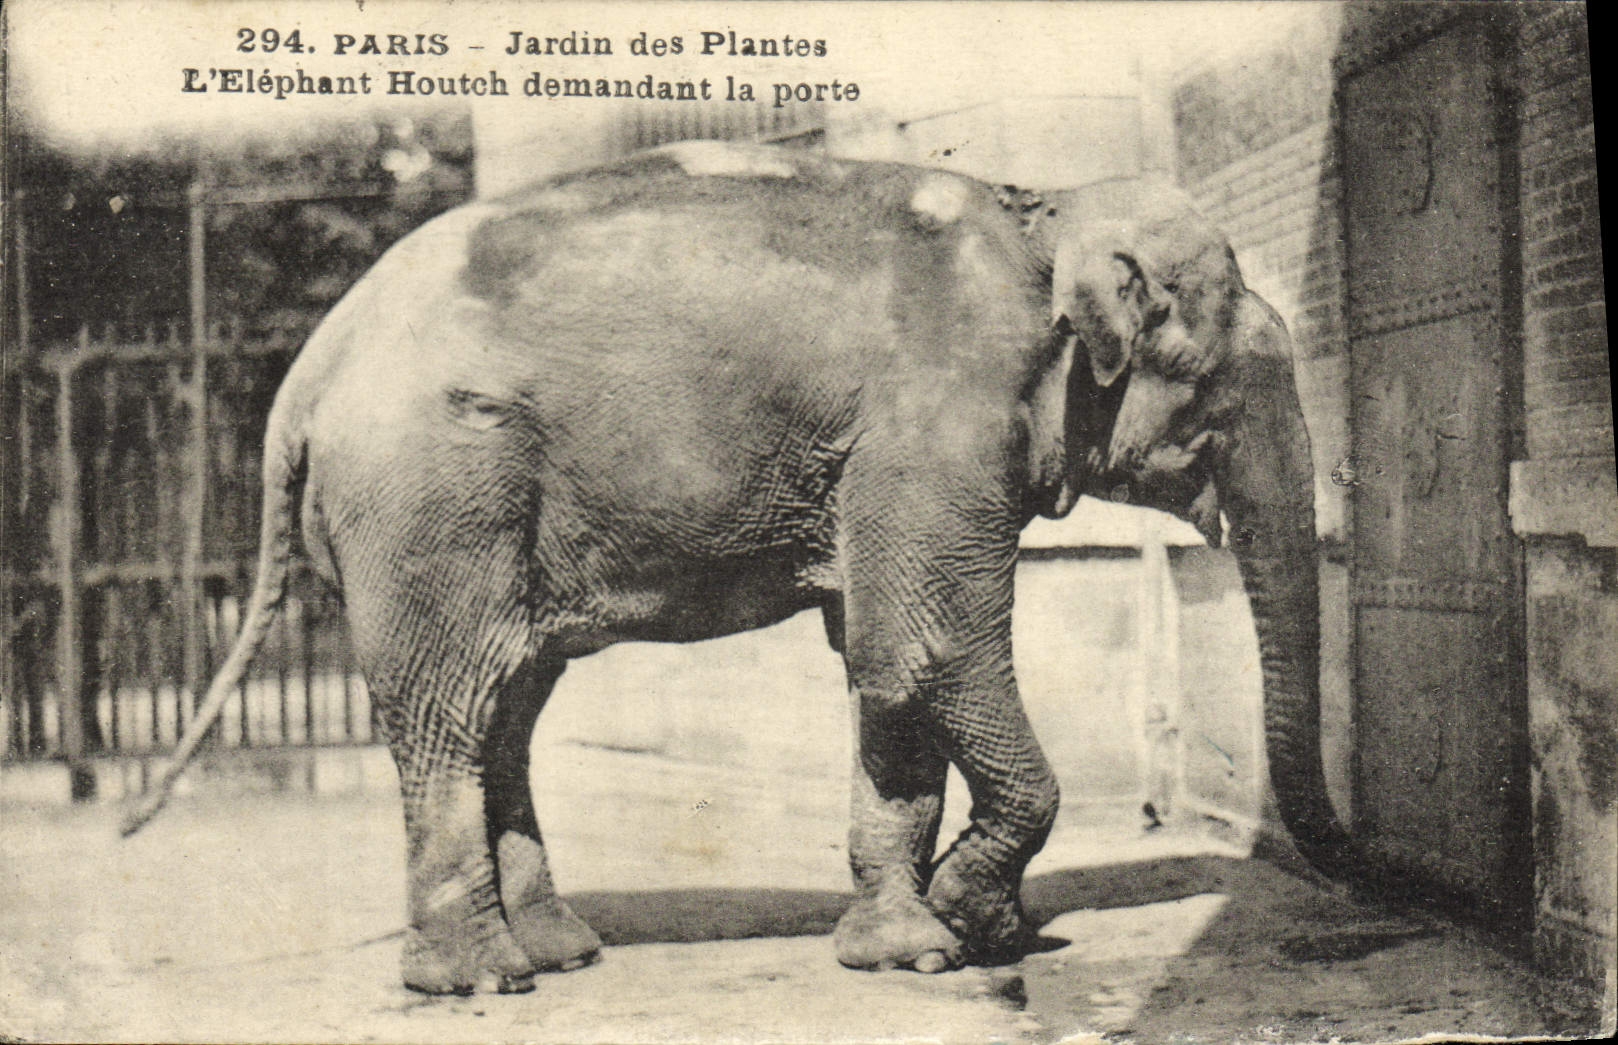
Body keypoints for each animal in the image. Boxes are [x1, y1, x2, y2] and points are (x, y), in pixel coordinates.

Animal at [123, 141, 1350, 995]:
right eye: (1220, 382)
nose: (1352, 870)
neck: (1043, 209)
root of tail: (306, 375)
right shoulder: (931, 429)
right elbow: (929, 647)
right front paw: (971, 923)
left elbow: (878, 670)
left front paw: (910, 951)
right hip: (431, 500)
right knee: (449, 711)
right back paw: (481, 980)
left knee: (507, 707)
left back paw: (563, 951)